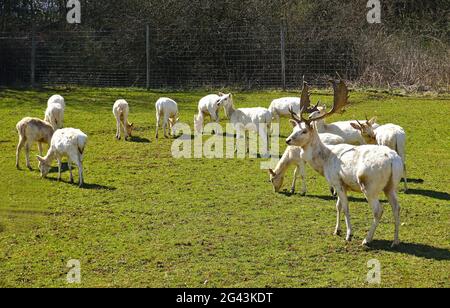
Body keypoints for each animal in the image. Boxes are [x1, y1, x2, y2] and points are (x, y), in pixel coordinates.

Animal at [288, 77, 404, 248]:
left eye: (304, 131)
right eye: (295, 128)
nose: (288, 140)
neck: (324, 162)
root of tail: (393, 160)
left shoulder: (337, 181)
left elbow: (346, 207)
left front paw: (349, 234)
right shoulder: (341, 184)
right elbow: (338, 206)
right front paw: (336, 230)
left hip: (369, 185)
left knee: (378, 210)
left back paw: (366, 239)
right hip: (391, 185)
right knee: (397, 207)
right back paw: (395, 241)